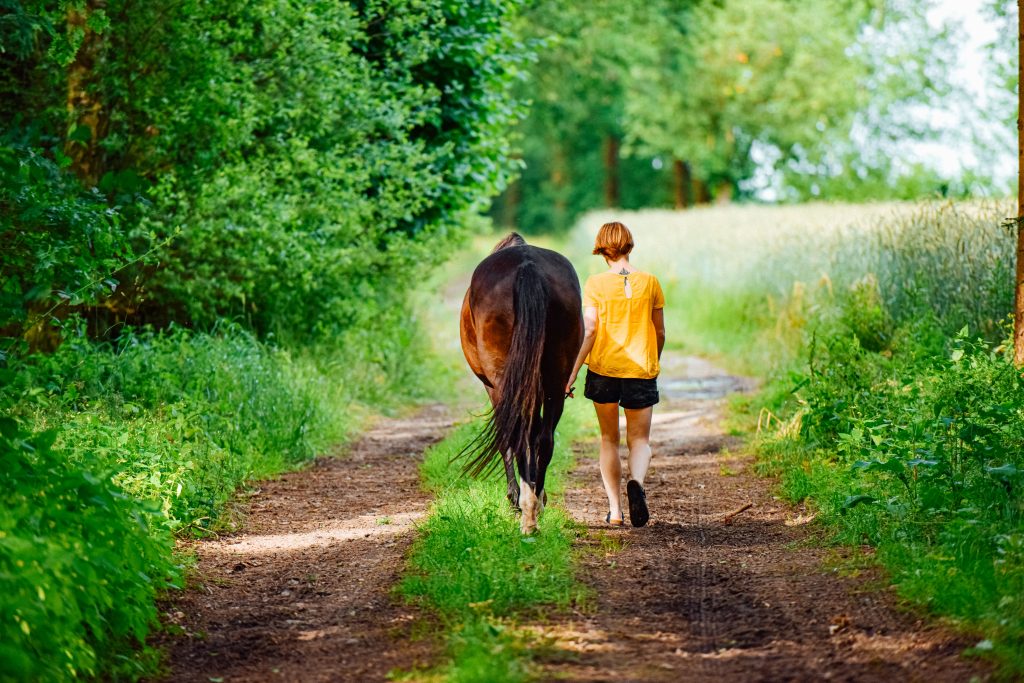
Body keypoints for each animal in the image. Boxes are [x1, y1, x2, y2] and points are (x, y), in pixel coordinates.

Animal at [459, 232, 583, 534]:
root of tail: (528, 266)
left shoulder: (494, 389)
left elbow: (508, 437)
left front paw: (514, 498)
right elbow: (534, 432)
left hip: (504, 380)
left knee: (515, 434)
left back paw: (526, 510)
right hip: (554, 382)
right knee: (544, 438)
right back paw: (534, 505)